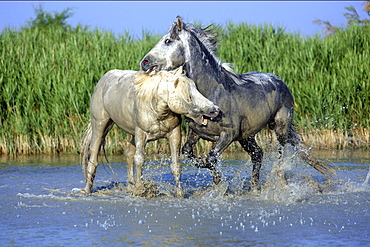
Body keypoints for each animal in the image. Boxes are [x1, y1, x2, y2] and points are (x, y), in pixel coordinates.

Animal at [141, 16, 336, 189]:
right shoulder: (196, 132)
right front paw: (218, 181)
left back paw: (280, 179)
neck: (213, 93)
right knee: (258, 154)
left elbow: (210, 158)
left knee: (282, 151)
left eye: (167, 40)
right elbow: (189, 153)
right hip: (247, 136)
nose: (144, 62)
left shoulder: (228, 134)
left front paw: (221, 183)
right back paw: (254, 187)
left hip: (280, 127)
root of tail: (280, 81)